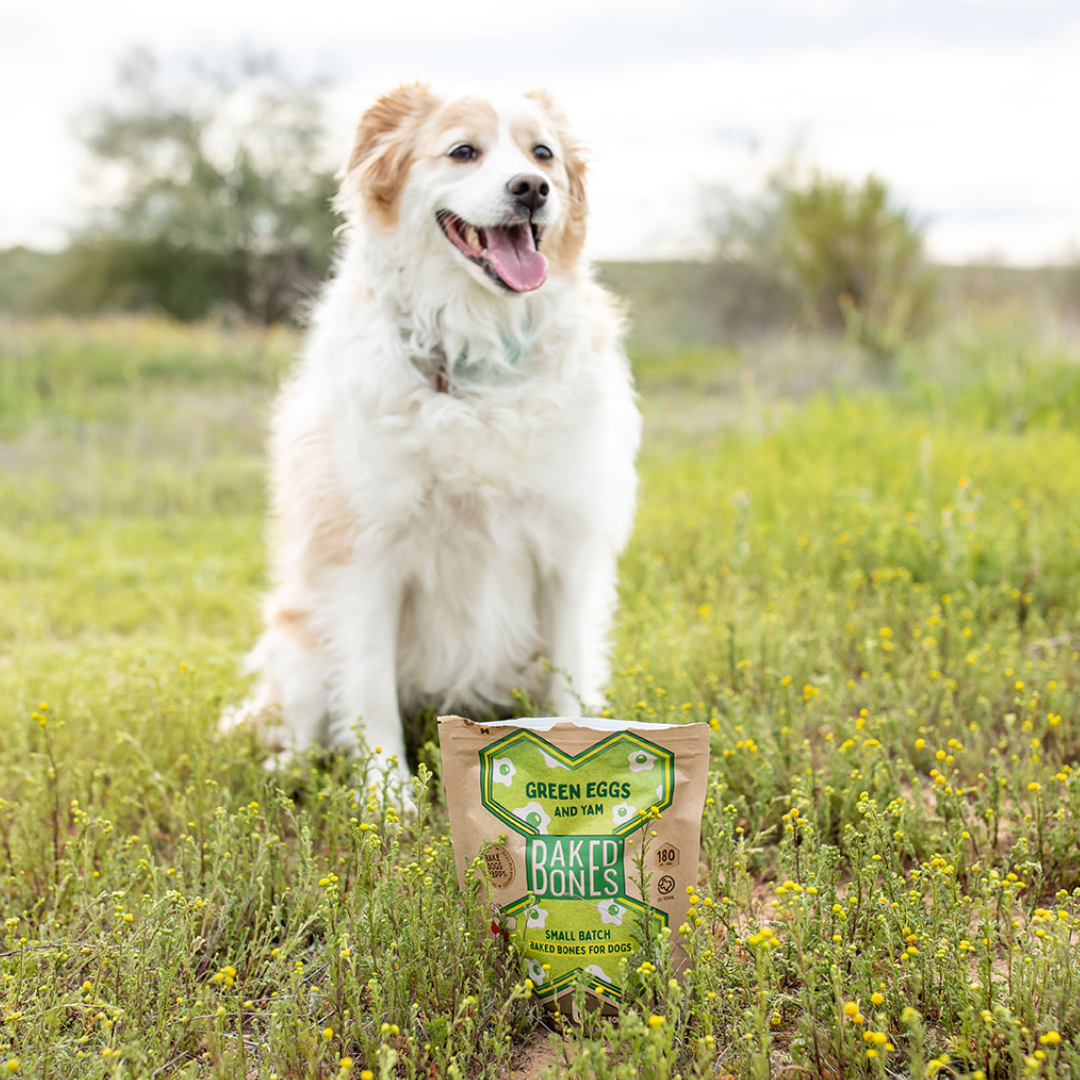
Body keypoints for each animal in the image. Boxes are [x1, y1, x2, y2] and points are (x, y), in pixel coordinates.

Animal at [221, 79, 639, 781]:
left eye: (544, 154)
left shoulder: (567, 552)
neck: (475, 359)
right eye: (463, 151)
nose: (532, 188)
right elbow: (369, 700)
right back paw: (288, 771)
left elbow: (572, 685)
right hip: (297, 637)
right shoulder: (365, 556)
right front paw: (388, 796)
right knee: (301, 725)